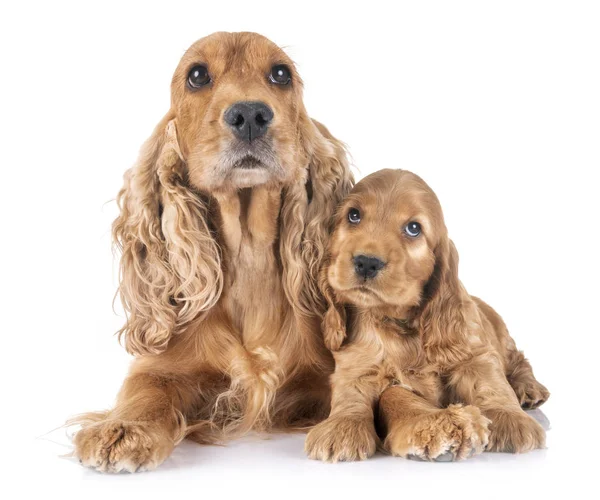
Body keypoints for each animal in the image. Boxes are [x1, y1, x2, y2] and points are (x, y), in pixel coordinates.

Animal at [71, 32, 354, 472]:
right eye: (197, 75)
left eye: (281, 74)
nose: (250, 114)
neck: (249, 256)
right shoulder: (160, 366)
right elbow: (145, 392)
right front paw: (124, 429)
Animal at [308, 170, 552, 462]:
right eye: (353, 215)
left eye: (414, 228)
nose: (367, 262)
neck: (399, 323)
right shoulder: (356, 366)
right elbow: (352, 395)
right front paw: (342, 428)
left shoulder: (475, 354)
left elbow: (491, 383)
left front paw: (510, 419)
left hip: (504, 339)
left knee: (519, 361)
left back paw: (529, 389)